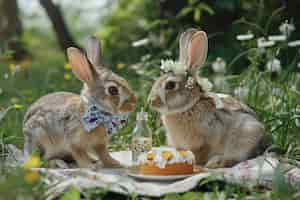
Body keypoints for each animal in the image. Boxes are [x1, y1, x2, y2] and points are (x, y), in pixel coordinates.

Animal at [22, 36, 137, 168]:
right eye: (113, 90)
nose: (133, 103)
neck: (99, 114)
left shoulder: (100, 144)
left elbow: (104, 154)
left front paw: (116, 164)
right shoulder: (74, 141)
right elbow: (79, 154)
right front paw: (89, 167)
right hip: (40, 138)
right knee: (44, 160)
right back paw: (59, 163)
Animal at [148, 28, 268, 168]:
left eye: (170, 85)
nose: (151, 101)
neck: (189, 107)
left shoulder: (206, 140)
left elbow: (200, 154)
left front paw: (197, 164)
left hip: (247, 136)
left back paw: (217, 162)